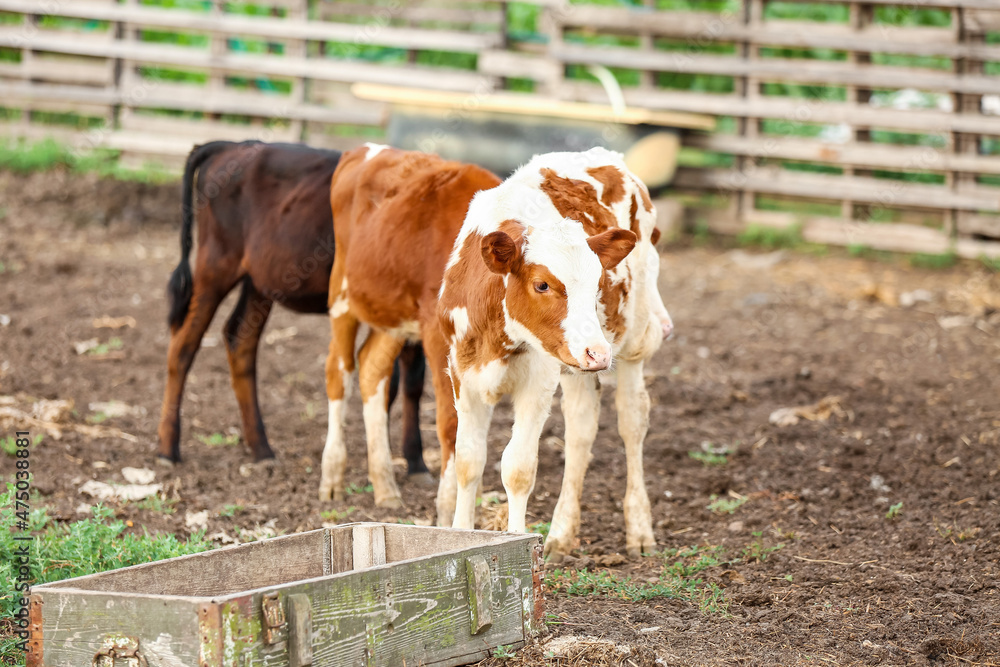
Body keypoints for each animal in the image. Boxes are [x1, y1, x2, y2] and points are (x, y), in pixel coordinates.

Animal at [160, 141, 430, 478]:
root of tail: (234, 145)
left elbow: (412, 381)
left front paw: (416, 461)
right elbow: (389, 382)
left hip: (259, 280)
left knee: (239, 339)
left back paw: (261, 448)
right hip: (216, 262)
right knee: (184, 344)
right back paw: (168, 448)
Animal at [440, 149, 672, 560]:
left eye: (598, 284)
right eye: (542, 284)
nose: (598, 353)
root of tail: (605, 156)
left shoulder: (538, 382)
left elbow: (518, 468)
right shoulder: (462, 375)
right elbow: (468, 461)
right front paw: (461, 535)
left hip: (632, 339)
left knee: (632, 421)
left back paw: (639, 528)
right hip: (576, 366)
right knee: (580, 429)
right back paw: (562, 534)